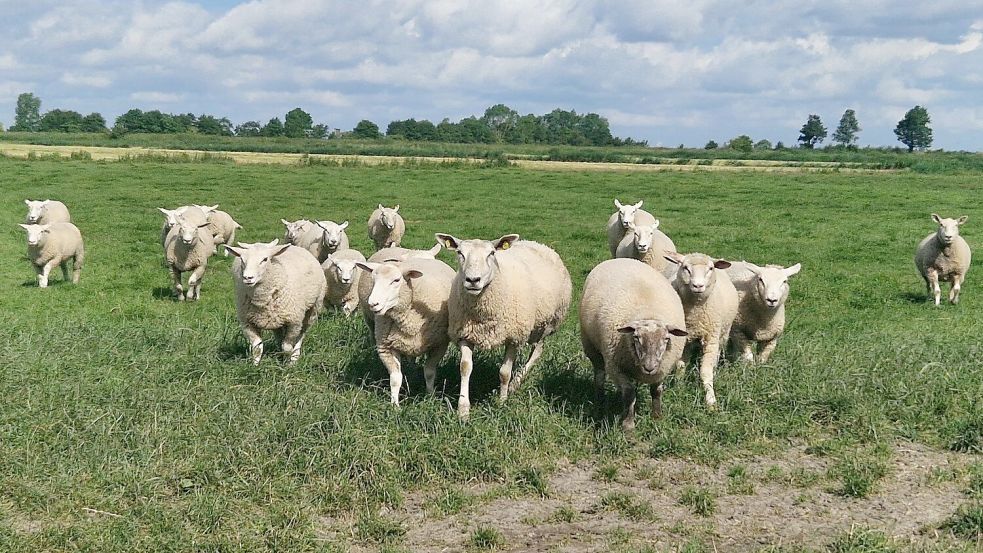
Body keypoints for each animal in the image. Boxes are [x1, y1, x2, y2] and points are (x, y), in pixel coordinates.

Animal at [358, 256, 458, 404]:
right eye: (373, 280)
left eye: (396, 280)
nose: (373, 304)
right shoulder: (386, 347)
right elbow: (395, 379)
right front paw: (394, 404)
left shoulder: (439, 344)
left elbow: (429, 372)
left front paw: (430, 396)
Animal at [434, 232, 572, 418]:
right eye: (459, 253)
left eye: (491, 253)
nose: (473, 280)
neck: (483, 313)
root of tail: (539, 244)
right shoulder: (465, 334)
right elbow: (465, 368)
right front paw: (463, 409)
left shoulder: (513, 338)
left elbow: (504, 373)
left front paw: (502, 402)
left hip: (547, 324)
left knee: (537, 352)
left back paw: (515, 383)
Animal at [580, 256, 688, 430]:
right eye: (636, 337)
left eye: (666, 339)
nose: (649, 367)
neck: (648, 312)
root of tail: (620, 258)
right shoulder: (616, 367)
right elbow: (629, 393)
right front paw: (628, 424)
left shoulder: (662, 369)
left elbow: (657, 391)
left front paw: (657, 417)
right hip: (591, 347)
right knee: (599, 376)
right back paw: (600, 402)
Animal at [660, 250, 736, 406]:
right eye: (686, 268)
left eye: (710, 268)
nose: (698, 286)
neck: (695, 314)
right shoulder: (682, 339)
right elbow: (680, 365)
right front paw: (678, 386)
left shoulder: (711, 338)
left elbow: (705, 371)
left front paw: (710, 400)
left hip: (722, 334)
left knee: (717, 354)